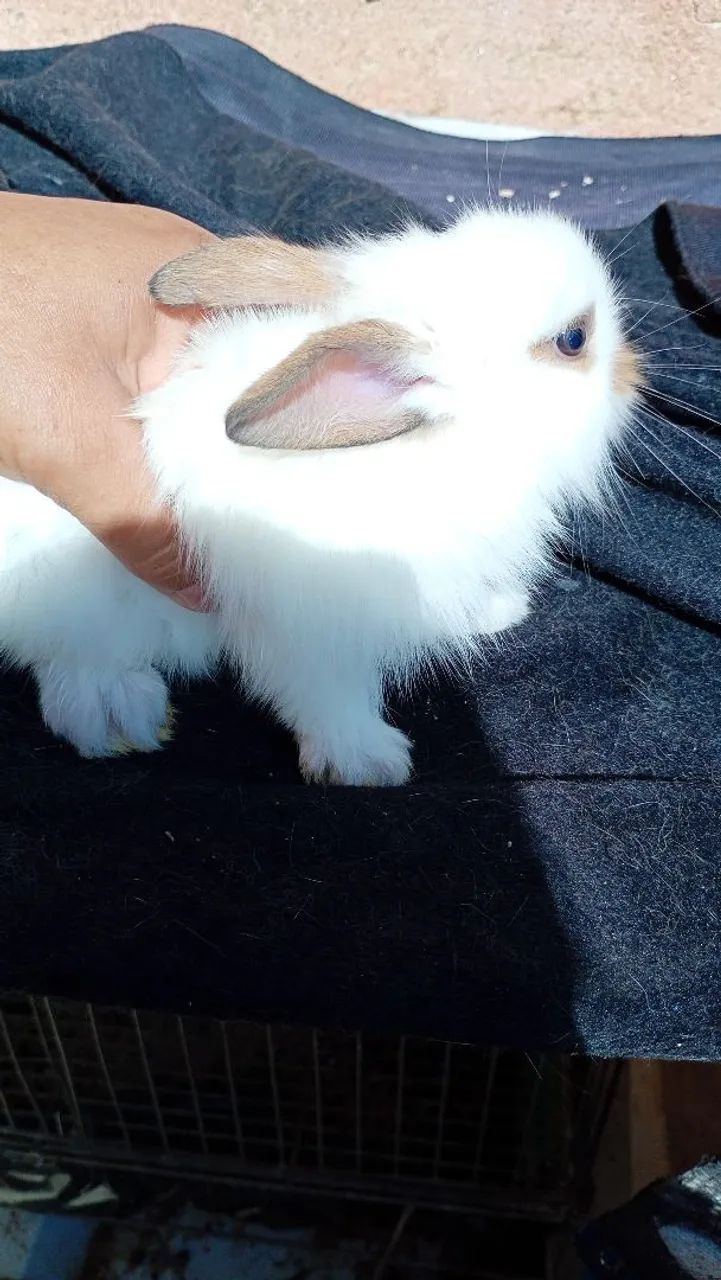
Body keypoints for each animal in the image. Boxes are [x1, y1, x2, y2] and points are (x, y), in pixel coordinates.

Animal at [0, 208, 639, 785]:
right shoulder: (310, 628)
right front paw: (370, 762)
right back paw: (120, 716)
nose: (635, 372)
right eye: (574, 339)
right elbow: (328, 697)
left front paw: (501, 609)